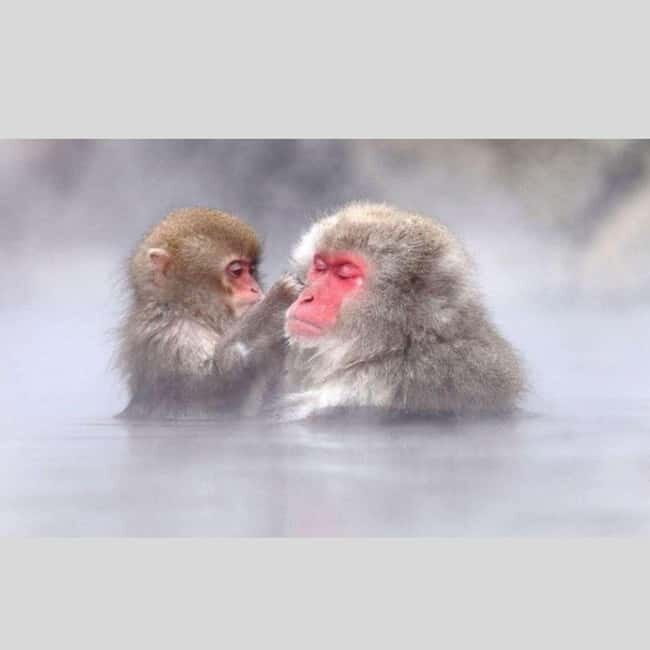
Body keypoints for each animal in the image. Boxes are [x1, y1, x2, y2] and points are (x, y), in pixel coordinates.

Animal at [116, 207, 299, 419]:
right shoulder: (173, 335)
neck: (192, 312)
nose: (255, 288)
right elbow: (214, 386)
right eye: (237, 271)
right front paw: (275, 307)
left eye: (251, 270)